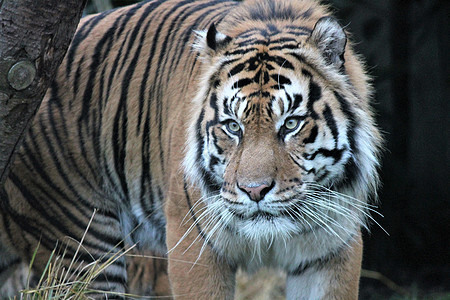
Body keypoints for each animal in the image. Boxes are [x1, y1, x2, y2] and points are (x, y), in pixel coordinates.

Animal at [0, 0, 384, 298]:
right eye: (233, 127)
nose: (254, 190)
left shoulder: (332, 252)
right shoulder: (194, 245)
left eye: (290, 124)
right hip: (80, 246)